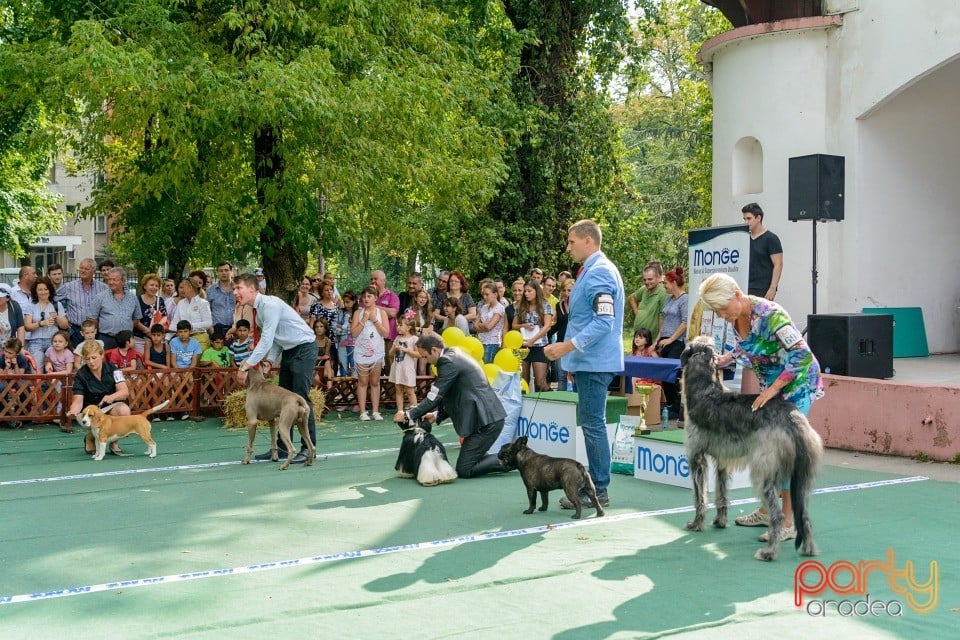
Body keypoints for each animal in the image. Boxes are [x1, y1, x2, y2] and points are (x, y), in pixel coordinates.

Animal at [680, 338, 820, 564]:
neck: (705, 389)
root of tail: (792, 417)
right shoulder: (723, 460)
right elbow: (721, 494)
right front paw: (720, 521)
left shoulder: (696, 459)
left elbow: (699, 498)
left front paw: (696, 524)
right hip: (803, 475)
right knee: (803, 514)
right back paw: (809, 549)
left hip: (763, 472)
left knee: (778, 515)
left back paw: (769, 552)